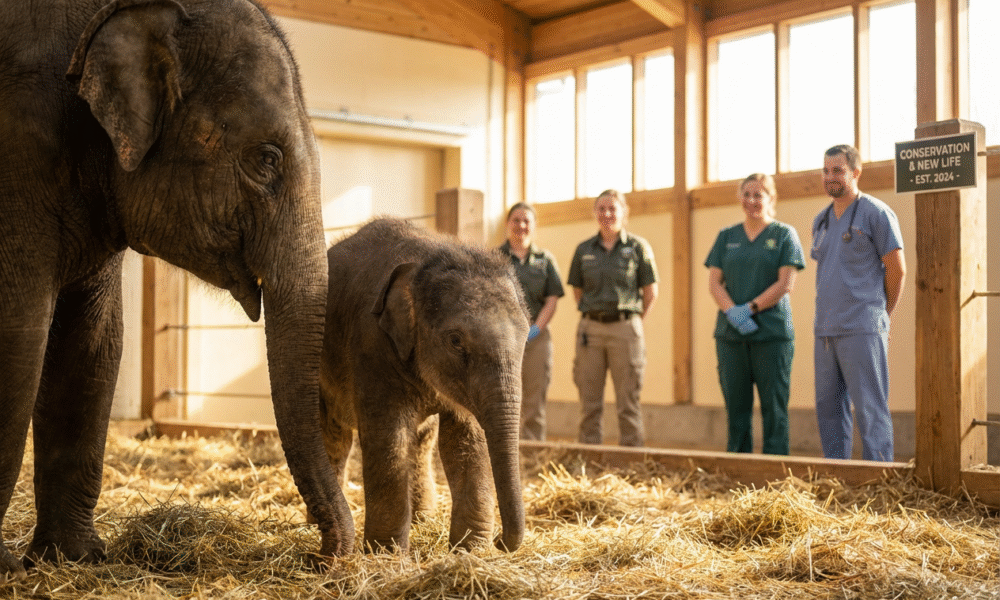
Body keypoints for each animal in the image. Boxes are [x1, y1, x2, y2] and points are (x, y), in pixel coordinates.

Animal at [0, 0, 354, 580]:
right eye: (267, 158)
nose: (322, 556)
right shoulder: (20, 154)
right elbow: (18, 337)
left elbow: (93, 344)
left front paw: (75, 560)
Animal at [320, 218, 529, 553]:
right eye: (455, 341)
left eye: (526, 337)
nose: (500, 541)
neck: (429, 257)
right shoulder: (371, 344)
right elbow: (389, 437)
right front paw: (387, 554)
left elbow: (466, 441)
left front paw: (470, 551)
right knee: (335, 437)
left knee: (422, 440)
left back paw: (423, 519)